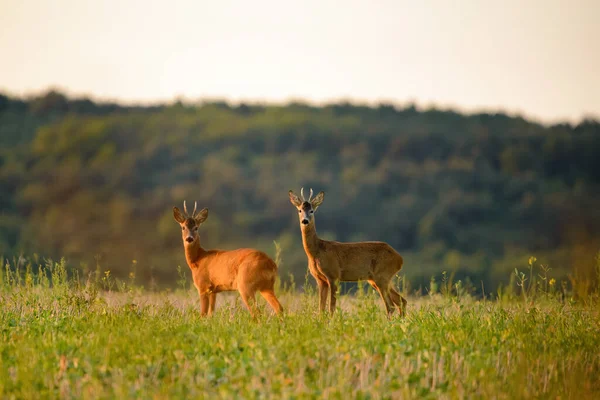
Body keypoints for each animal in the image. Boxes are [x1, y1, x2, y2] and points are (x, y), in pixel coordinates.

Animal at [288, 189, 408, 318]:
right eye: (300, 210)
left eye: (312, 210)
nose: (305, 221)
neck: (317, 251)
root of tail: (400, 259)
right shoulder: (320, 280)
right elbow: (321, 309)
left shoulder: (334, 275)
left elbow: (331, 308)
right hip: (377, 279)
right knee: (402, 301)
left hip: (382, 276)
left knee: (391, 306)